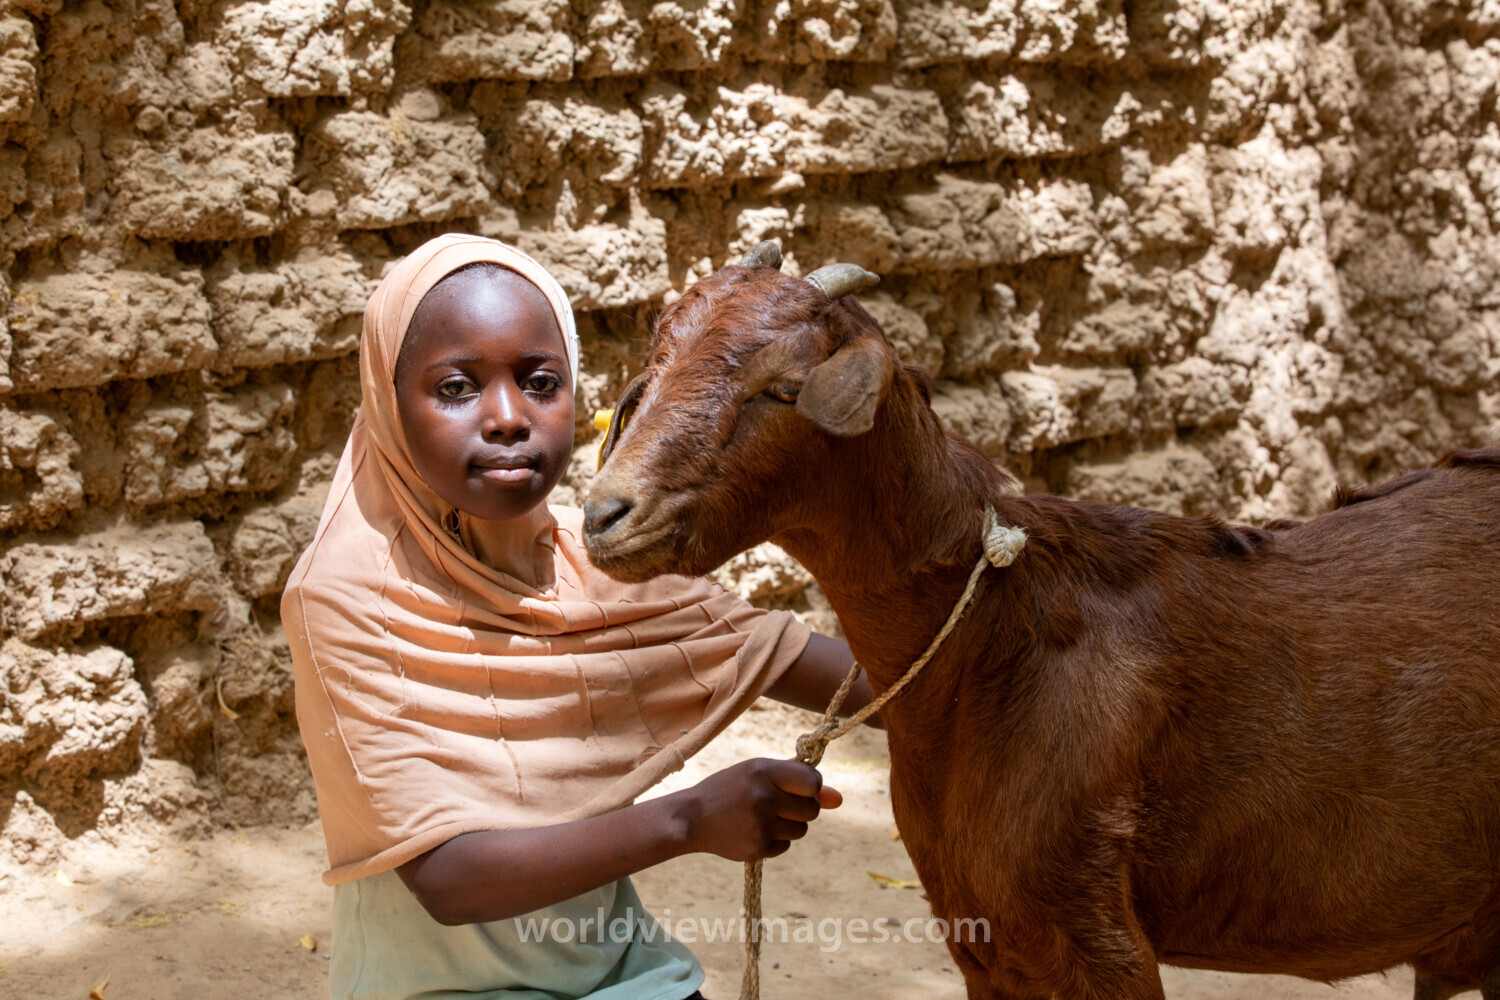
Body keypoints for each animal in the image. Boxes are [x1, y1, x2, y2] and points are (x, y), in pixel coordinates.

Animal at [581, 242, 1500, 1000]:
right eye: (655, 366)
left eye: (779, 389)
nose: (605, 515)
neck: (995, 639)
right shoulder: (984, 941)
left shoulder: (1093, 937)